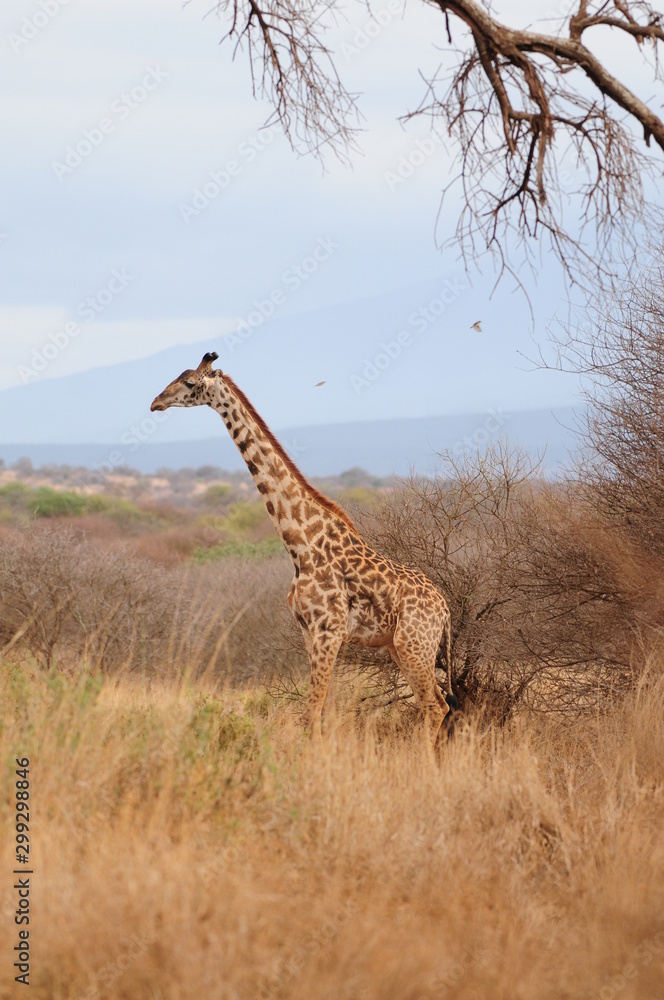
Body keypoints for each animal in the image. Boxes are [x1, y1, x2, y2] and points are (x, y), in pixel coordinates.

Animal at [151, 352, 456, 745]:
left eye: (190, 383)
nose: (156, 402)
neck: (301, 545)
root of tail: (445, 611)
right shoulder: (309, 632)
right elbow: (321, 712)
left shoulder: (330, 630)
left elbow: (310, 713)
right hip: (401, 648)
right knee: (436, 704)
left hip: (414, 645)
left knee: (435, 707)